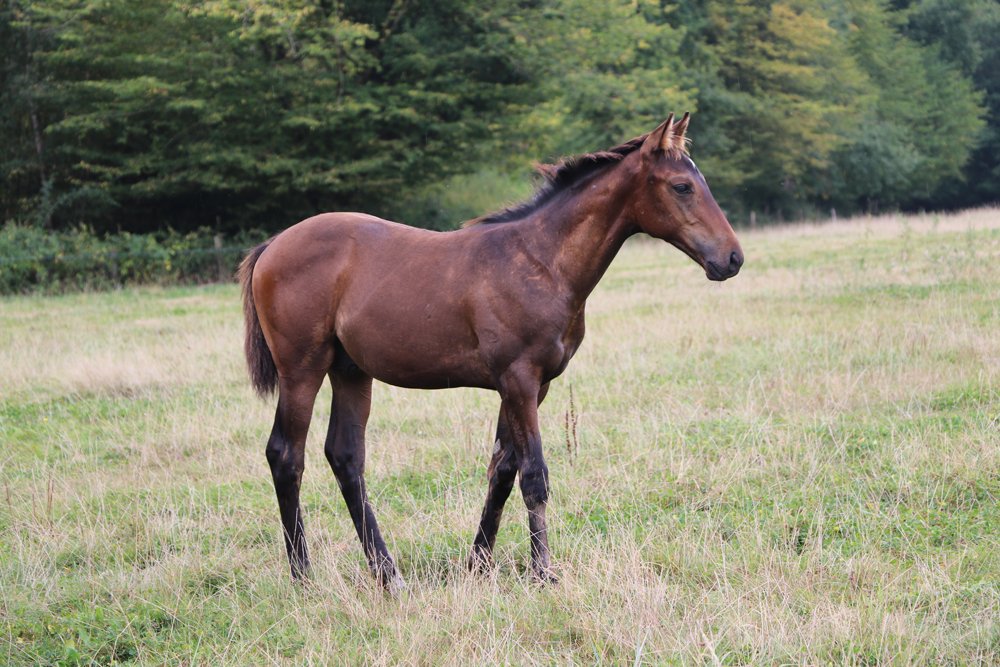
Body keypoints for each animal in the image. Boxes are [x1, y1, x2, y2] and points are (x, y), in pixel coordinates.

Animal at [238, 113, 743, 590]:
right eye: (681, 186)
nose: (733, 258)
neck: (540, 259)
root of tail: (273, 245)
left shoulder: (530, 386)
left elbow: (503, 469)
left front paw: (478, 564)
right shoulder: (518, 379)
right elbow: (534, 474)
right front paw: (543, 573)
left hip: (351, 372)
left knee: (345, 457)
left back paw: (387, 574)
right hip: (302, 369)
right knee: (286, 455)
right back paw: (303, 574)